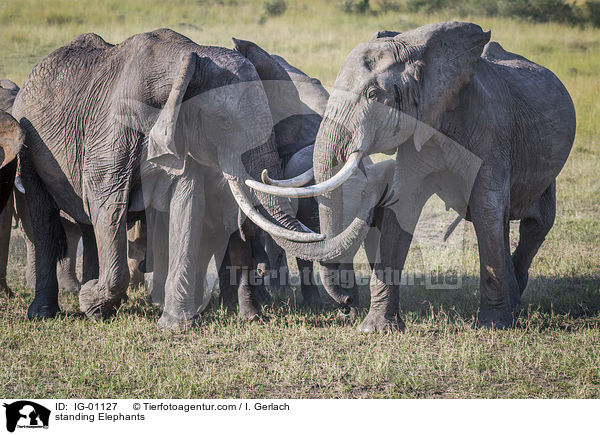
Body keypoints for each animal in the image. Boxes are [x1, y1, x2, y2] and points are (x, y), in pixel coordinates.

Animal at [12, 29, 324, 328]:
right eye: (224, 122)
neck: (189, 58)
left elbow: (186, 203)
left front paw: (176, 325)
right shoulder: (112, 129)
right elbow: (108, 204)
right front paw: (91, 302)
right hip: (28, 147)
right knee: (44, 220)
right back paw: (45, 313)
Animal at [247, 21, 576, 330]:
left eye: (373, 95)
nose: (346, 306)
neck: (415, 48)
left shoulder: (491, 131)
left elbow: (485, 209)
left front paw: (494, 325)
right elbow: (401, 205)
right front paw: (376, 328)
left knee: (534, 224)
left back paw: (515, 303)